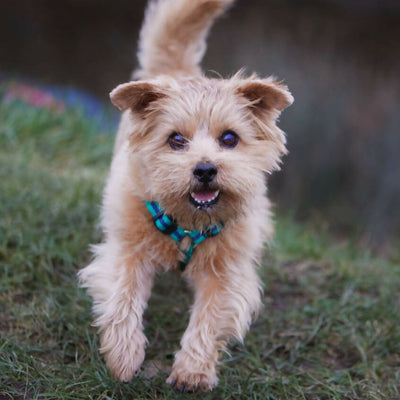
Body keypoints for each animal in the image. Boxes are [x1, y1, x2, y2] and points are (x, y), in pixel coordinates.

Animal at [78, 0, 292, 394]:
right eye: (176, 139)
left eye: (229, 139)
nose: (205, 169)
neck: (190, 223)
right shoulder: (125, 251)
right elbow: (122, 297)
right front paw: (124, 356)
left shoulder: (227, 273)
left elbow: (209, 317)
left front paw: (192, 371)